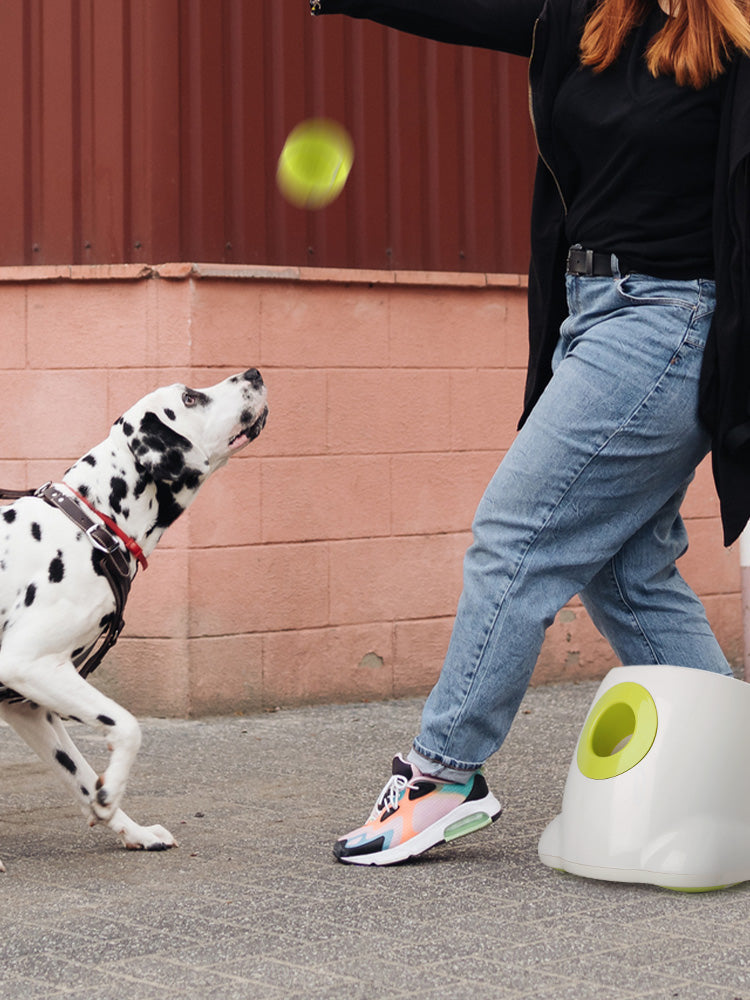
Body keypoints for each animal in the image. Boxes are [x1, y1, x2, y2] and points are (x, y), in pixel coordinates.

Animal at [0, 368, 268, 868]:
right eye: (190, 398)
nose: (254, 373)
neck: (93, 523)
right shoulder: (27, 664)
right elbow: (128, 725)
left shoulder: (26, 702)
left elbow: (82, 774)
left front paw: (129, 826)